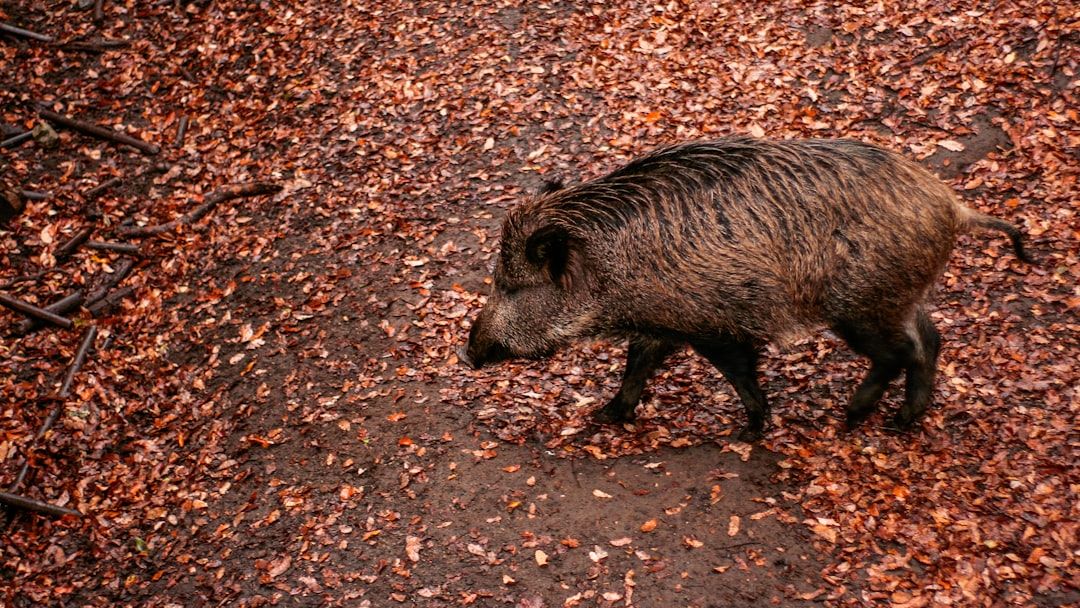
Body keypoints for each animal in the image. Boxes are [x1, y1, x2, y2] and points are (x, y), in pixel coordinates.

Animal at [463, 137, 1032, 441]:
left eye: (511, 285)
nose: (468, 354)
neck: (609, 268)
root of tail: (952, 206)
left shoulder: (713, 325)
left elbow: (739, 374)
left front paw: (750, 430)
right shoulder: (663, 321)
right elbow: (638, 364)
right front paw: (605, 415)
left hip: (860, 307)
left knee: (899, 353)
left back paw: (854, 417)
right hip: (899, 297)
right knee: (930, 340)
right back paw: (902, 422)